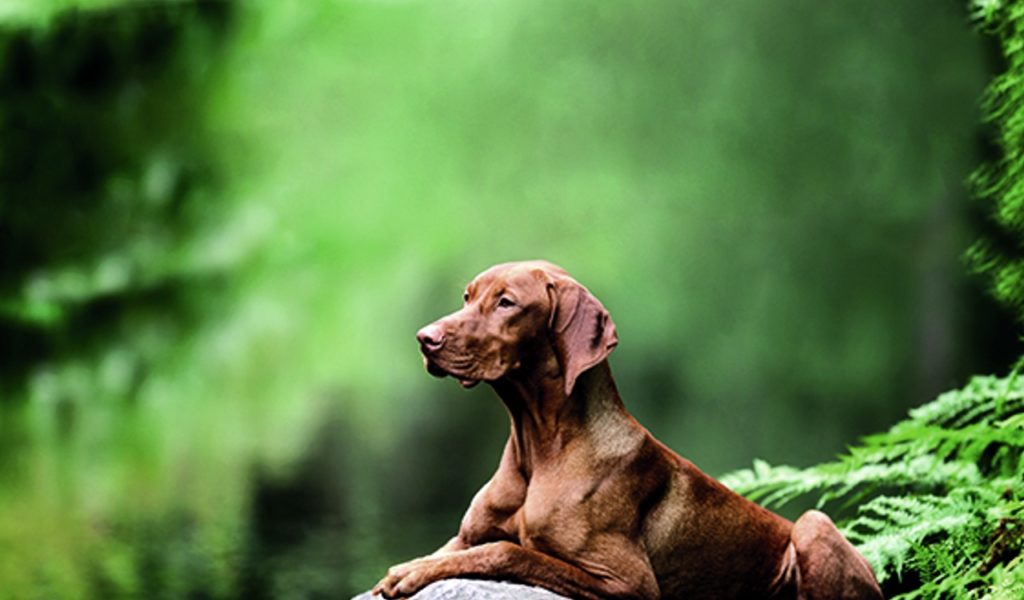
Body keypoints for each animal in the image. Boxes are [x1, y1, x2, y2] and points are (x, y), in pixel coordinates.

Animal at [372, 258, 884, 597]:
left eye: (506, 303)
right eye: (467, 296)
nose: (425, 339)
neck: (540, 447)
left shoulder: (627, 583)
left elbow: (507, 552)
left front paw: (408, 573)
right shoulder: (463, 537)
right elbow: (454, 552)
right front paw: (411, 569)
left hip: (811, 526)